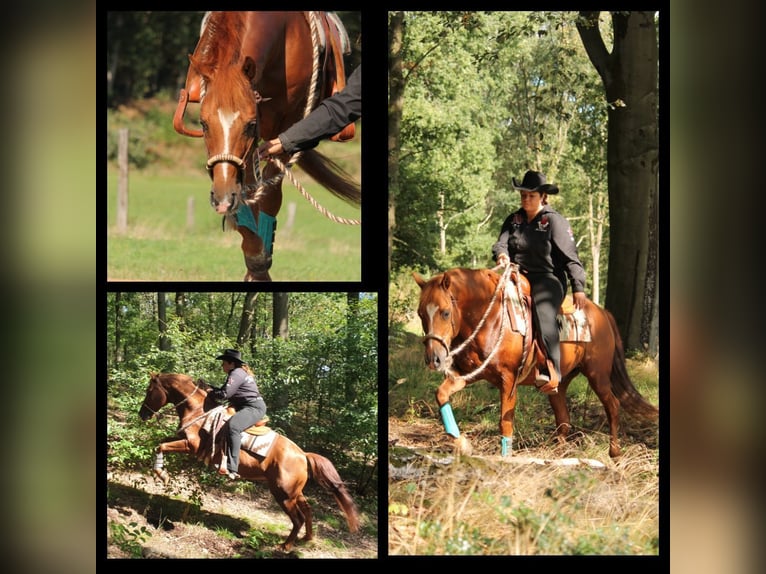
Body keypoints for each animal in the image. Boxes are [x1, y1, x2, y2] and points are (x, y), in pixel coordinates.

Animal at [137, 374, 360, 552]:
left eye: (149, 391)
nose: (142, 414)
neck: (198, 410)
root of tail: (303, 455)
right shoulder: (181, 440)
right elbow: (160, 444)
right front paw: (161, 472)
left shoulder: (190, 445)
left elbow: (160, 446)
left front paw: (162, 474)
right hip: (294, 492)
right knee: (307, 510)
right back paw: (307, 538)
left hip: (283, 494)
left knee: (297, 518)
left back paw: (286, 546)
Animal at [176, 12, 362, 282]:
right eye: (203, 123)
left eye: (250, 124)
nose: (222, 198)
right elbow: (247, 193)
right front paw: (251, 245)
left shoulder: (288, 125)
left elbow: (270, 193)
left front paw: (259, 262)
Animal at [414, 268, 660, 462]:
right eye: (420, 313)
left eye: (445, 312)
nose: (434, 359)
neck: (490, 317)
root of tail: (602, 312)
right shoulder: (468, 374)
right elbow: (441, 394)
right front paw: (461, 444)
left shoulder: (508, 380)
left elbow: (505, 422)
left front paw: (505, 459)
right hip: (560, 384)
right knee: (563, 420)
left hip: (597, 375)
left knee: (613, 406)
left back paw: (614, 453)